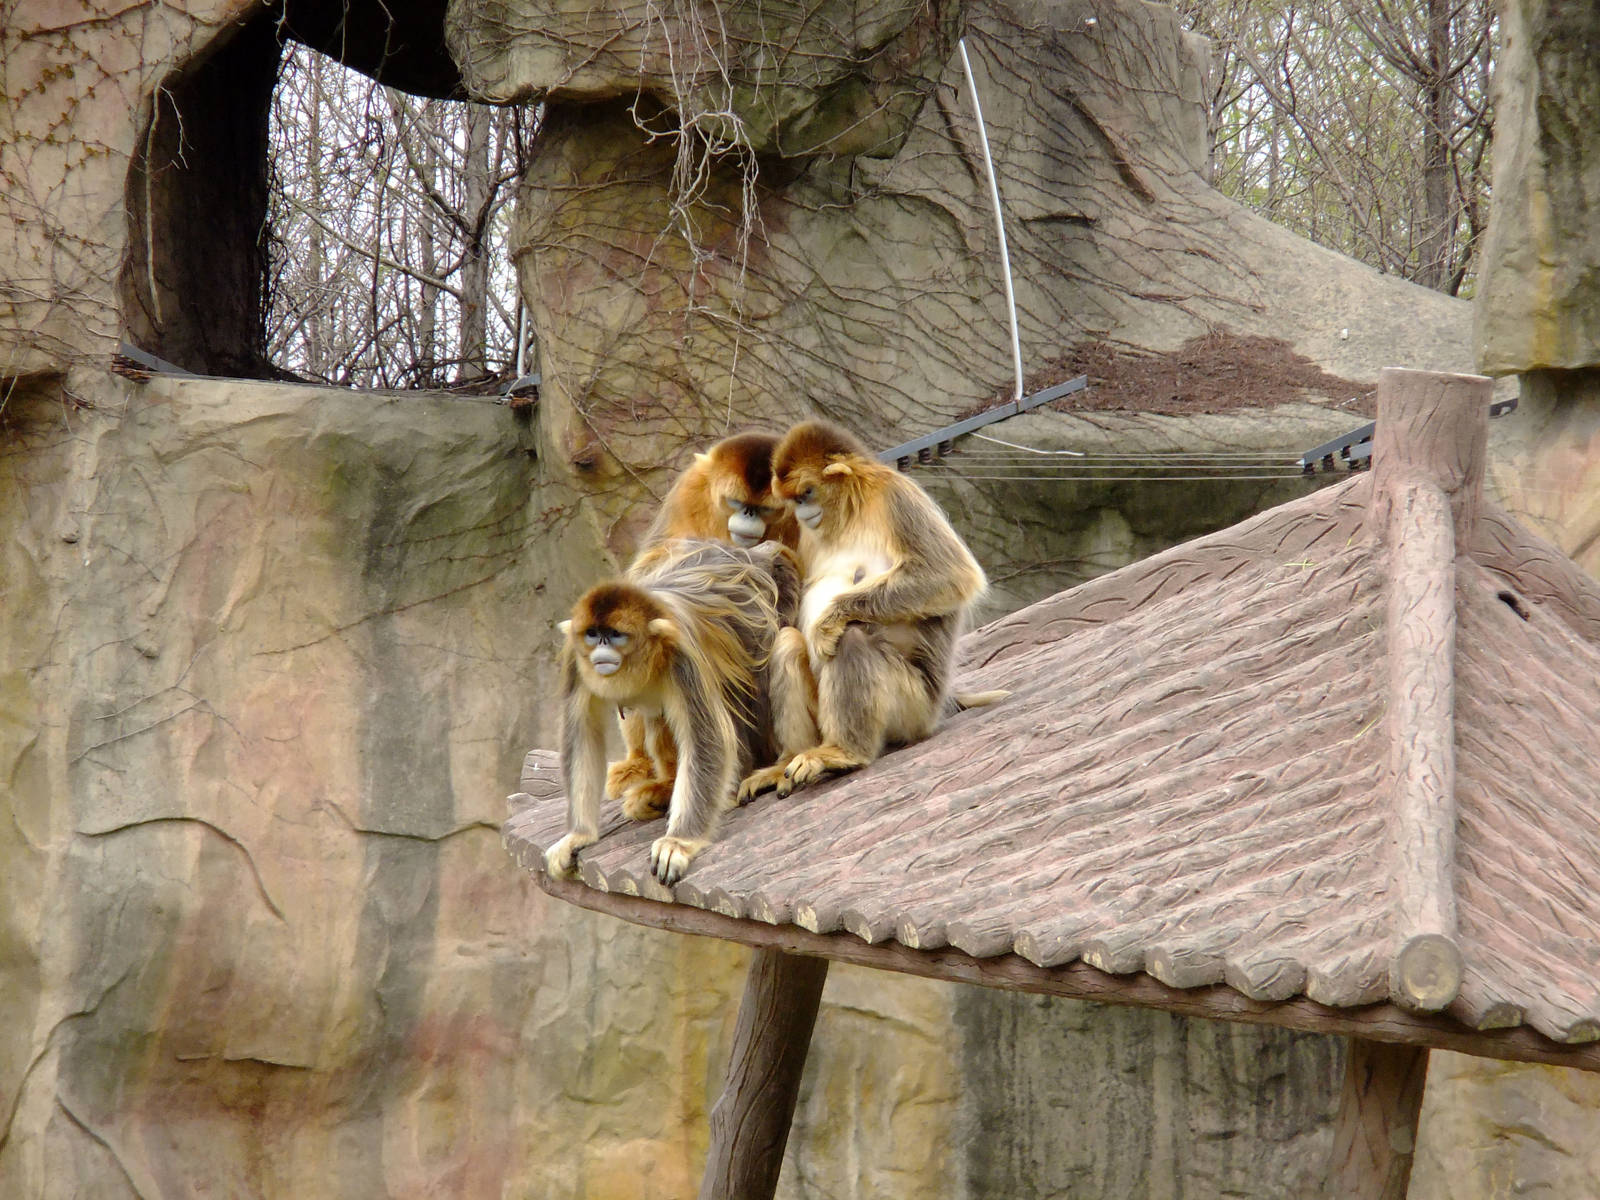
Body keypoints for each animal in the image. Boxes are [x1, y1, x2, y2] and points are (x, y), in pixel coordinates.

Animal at [545, 539, 801, 886]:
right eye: (592, 634)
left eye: (615, 635)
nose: (601, 650)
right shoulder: (575, 657)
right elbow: (582, 736)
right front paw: (579, 834)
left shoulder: (682, 654)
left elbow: (709, 741)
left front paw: (679, 842)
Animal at [736, 419, 995, 801]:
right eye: (793, 500)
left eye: (805, 494)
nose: (801, 512)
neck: (849, 513)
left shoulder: (895, 495)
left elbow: (950, 575)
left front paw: (827, 622)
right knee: (787, 641)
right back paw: (790, 758)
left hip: (914, 708)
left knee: (852, 636)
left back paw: (844, 753)